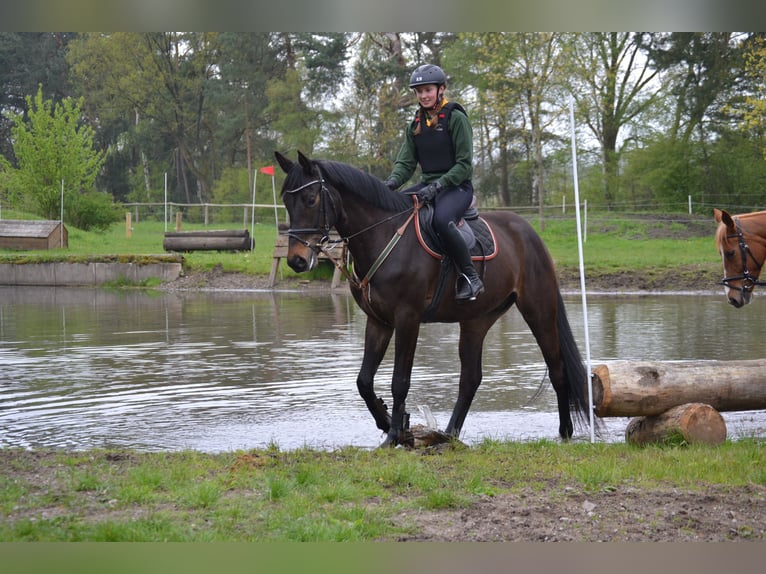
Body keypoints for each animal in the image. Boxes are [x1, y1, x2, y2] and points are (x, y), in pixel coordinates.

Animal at [276, 151, 592, 448]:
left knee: (557, 370)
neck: (384, 235)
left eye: (311, 199)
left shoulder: (407, 318)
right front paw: (391, 422)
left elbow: (400, 381)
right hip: (477, 320)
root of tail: (528, 232)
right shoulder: (378, 321)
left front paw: (395, 435)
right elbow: (364, 381)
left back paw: (565, 432)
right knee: (470, 379)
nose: (296, 260)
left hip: (539, 311)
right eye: (287, 202)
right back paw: (449, 434)